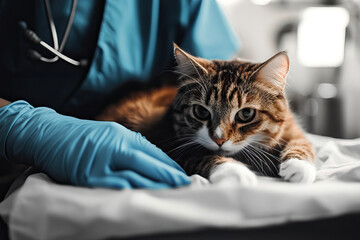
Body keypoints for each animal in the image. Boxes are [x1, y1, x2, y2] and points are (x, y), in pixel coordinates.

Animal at [97, 43, 316, 186]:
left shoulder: (291, 126)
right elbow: (202, 156)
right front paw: (235, 170)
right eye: (201, 111)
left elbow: (302, 142)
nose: (219, 140)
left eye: (246, 113)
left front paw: (299, 166)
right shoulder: (172, 145)